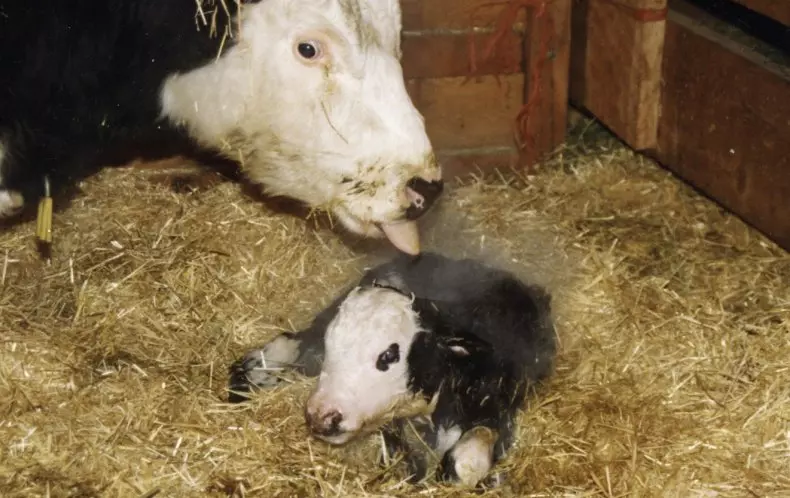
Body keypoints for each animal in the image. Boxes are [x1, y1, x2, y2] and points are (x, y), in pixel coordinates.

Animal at [228, 252, 557, 487]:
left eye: (388, 355)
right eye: (332, 342)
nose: (322, 416)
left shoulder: (501, 408)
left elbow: (467, 459)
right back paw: (250, 374)